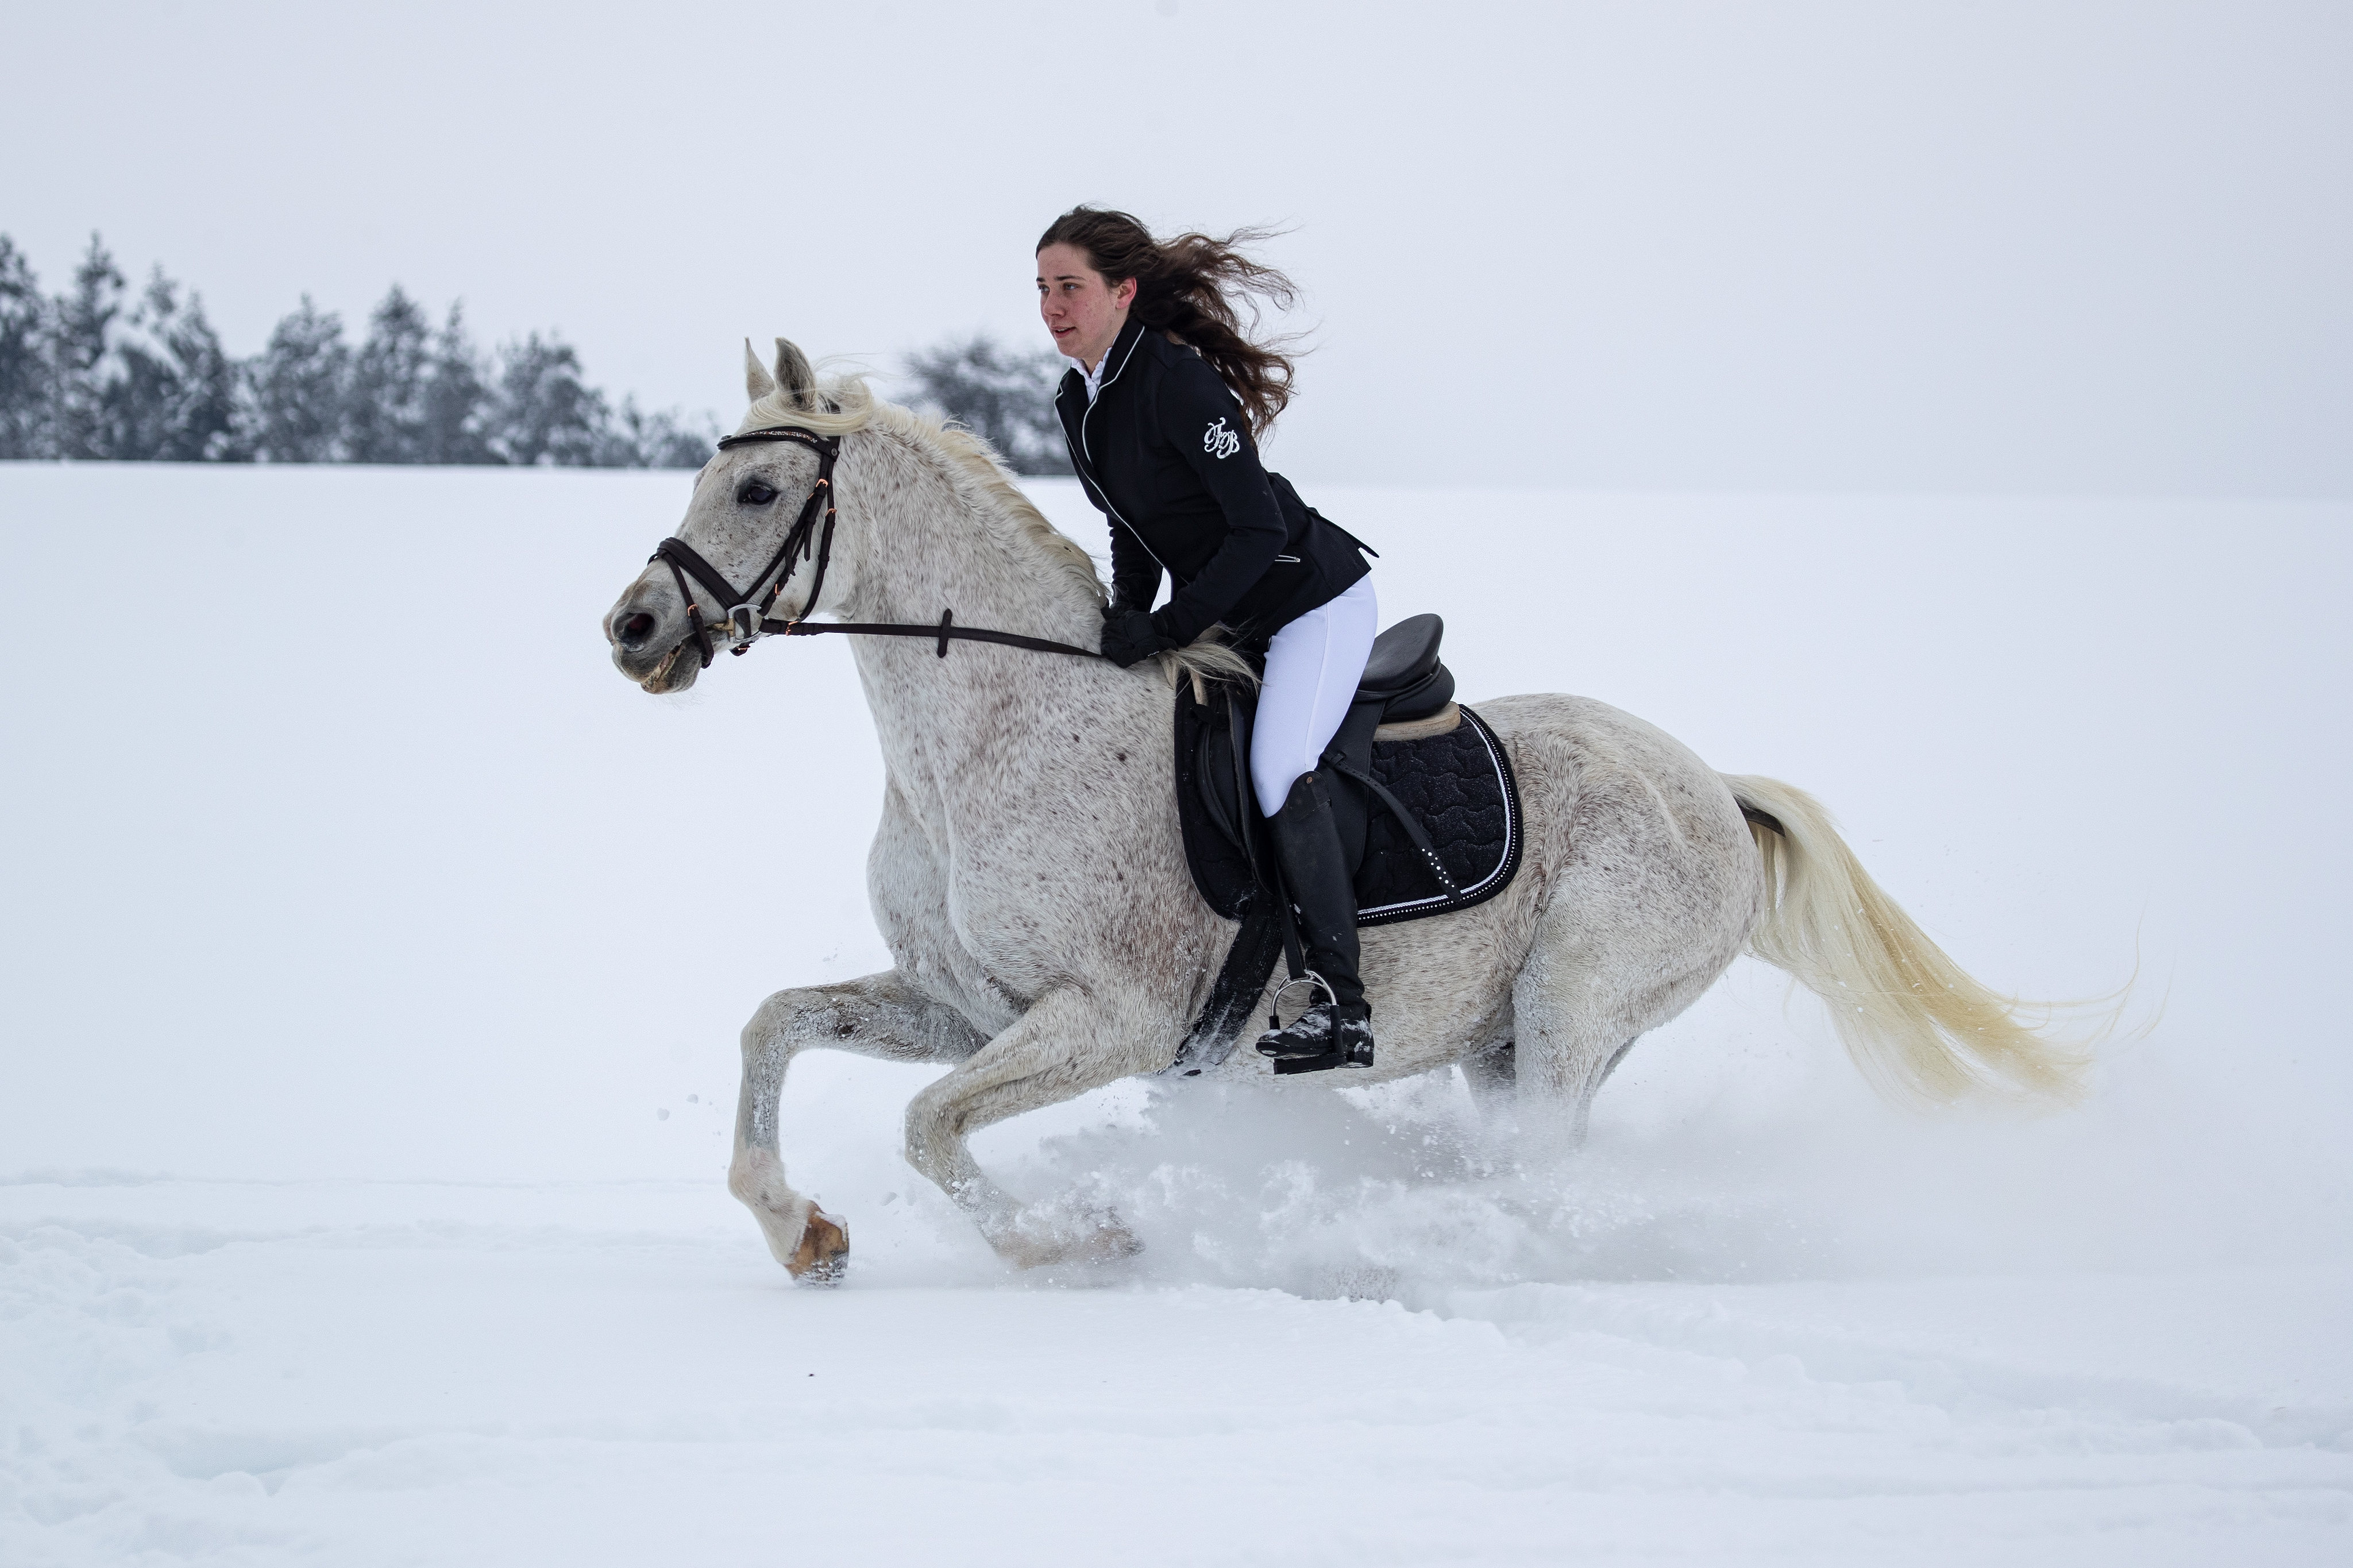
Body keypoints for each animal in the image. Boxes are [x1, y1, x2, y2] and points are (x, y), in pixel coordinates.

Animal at [602, 338, 2080, 1279]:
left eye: (755, 488)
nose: (632, 631)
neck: (987, 739)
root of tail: (1711, 786)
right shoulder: (968, 1007)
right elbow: (777, 1028)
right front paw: (800, 1230)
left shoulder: (1107, 1020)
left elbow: (928, 1128)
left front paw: (1078, 1241)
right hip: (1508, 1044)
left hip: (1573, 1007)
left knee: (1540, 1174)